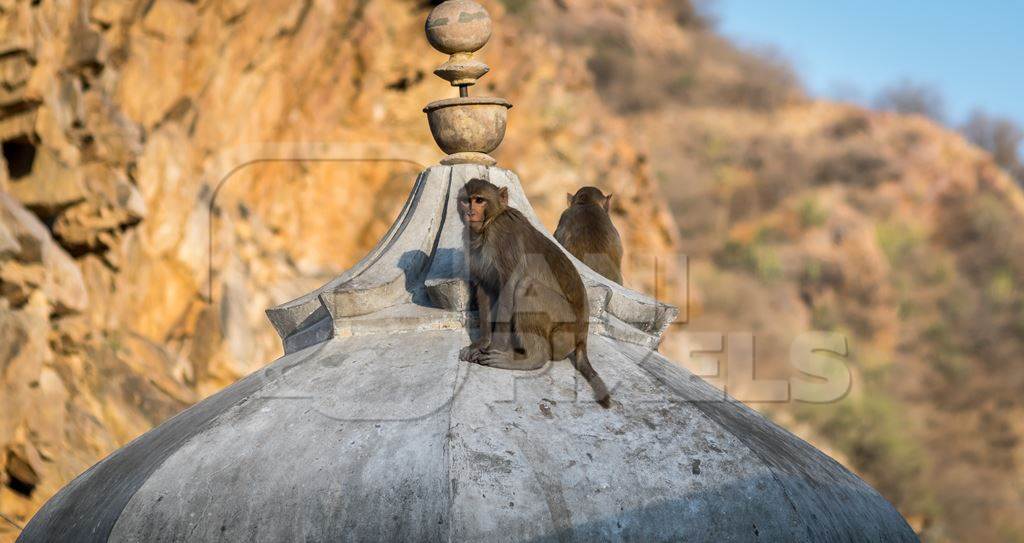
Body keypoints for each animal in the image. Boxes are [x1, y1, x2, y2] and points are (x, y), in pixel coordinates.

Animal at [458, 177, 614, 405]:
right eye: (466, 201)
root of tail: (581, 338)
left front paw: (496, 347)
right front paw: (481, 343)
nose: (470, 212)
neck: (488, 225)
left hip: (561, 327)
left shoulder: (503, 237)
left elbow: (508, 287)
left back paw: (531, 358)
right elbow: (485, 288)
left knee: (525, 286)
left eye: (479, 200)